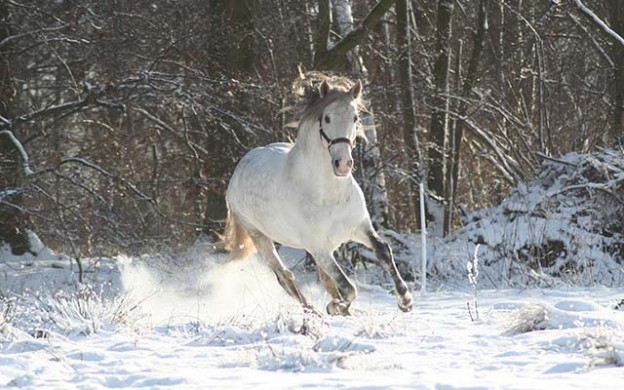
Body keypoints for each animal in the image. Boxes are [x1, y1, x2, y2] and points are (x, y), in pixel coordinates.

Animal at [224, 80, 414, 316]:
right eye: (327, 118)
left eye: (355, 118)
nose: (343, 164)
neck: (330, 194)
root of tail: (241, 166)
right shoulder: (319, 247)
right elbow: (348, 288)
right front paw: (335, 307)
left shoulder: (360, 228)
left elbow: (384, 252)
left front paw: (405, 300)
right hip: (260, 237)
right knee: (284, 276)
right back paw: (313, 311)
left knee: (321, 278)